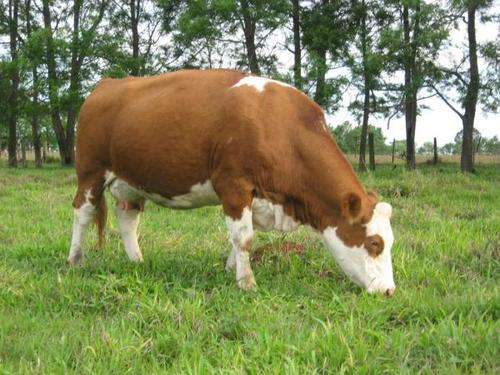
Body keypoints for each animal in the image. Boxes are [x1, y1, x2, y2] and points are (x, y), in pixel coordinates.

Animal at [67, 69, 394, 296]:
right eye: (374, 243)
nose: (389, 291)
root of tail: (108, 83)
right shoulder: (234, 185)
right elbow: (244, 238)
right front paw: (246, 282)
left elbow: (240, 239)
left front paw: (230, 269)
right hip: (90, 171)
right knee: (82, 213)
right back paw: (75, 259)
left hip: (131, 181)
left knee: (127, 218)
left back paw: (136, 261)